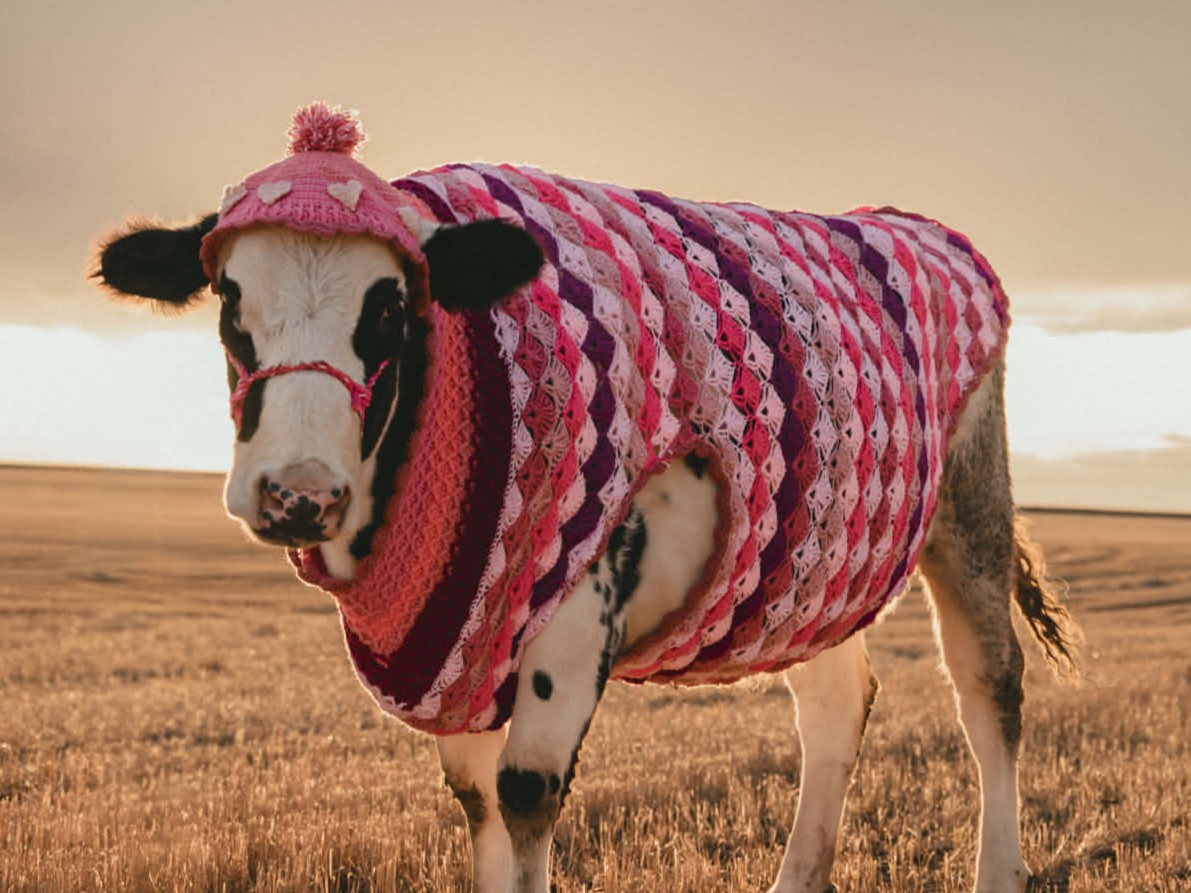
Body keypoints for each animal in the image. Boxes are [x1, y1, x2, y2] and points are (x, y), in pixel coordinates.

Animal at [93, 103, 1077, 893]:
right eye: (229, 298)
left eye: (389, 306)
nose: (296, 493)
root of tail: (907, 223)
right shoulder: (459, 644)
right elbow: (479, 803)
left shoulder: (573, 608)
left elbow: (526, 796)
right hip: (812, 560)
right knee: (835, 699)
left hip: (970, 501)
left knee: (989, 687)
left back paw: (999, 868)